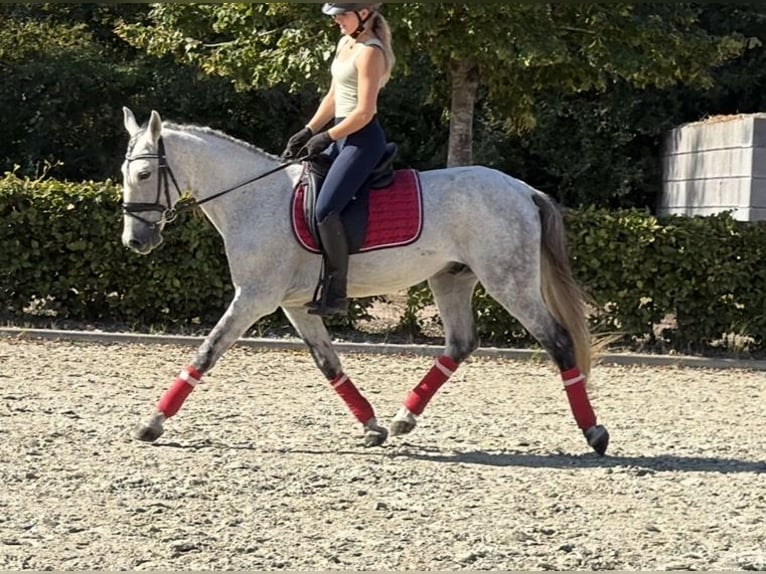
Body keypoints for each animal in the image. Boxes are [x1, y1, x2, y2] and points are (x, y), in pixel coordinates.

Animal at [120, 107, 610, 456]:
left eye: (143, 174)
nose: (134, 241)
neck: (253, 197)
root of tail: (523, 189)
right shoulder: (294, 305)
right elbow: (329, 364)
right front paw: (371, 427)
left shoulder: (254, 298)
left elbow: (207, 352)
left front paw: (152, 423)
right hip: (451, 280)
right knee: (460, 344)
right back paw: (403, 419)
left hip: (508, 281)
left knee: (558, 341)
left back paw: (594, 433)